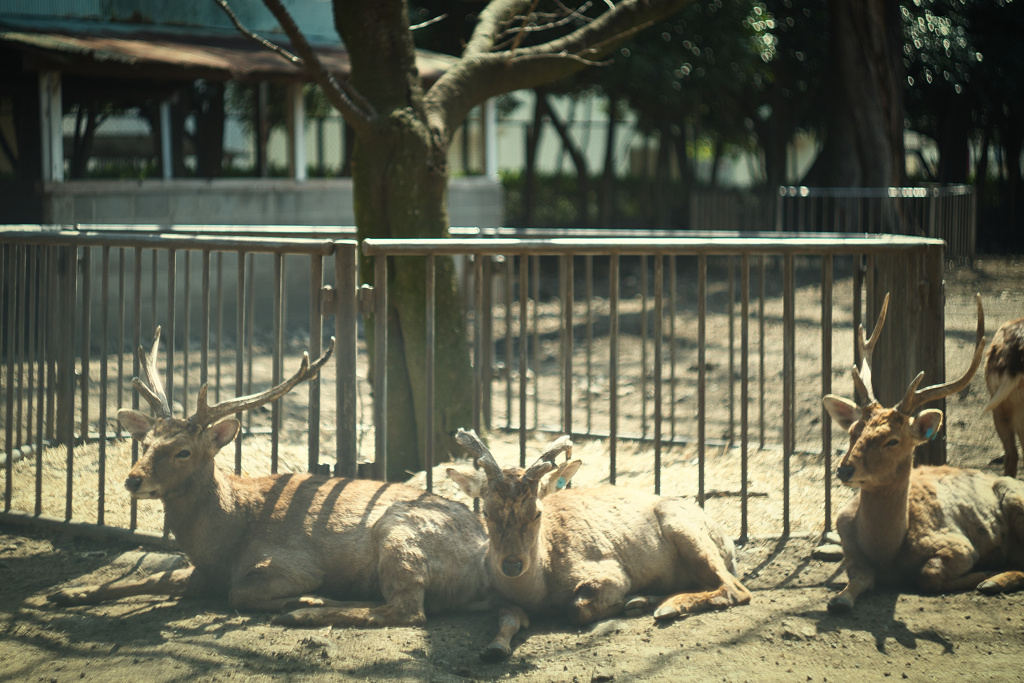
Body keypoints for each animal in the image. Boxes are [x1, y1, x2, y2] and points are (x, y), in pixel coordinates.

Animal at [48, 327, 491, 626]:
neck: (221, 541)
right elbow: (151, 578)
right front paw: (67, 593)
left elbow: (237, 593)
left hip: (400, 532)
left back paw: (304, 613)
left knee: (408, 610)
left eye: (183, 451)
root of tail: (486, 553)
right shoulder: (201, 571)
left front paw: (306, 599)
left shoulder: (292, 563)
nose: (133, 480)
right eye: (145, 443)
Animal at [452, 430, 749, 659]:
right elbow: (507, 616)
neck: (539, 589)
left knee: (736, 589)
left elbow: (577, 608)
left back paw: (663, 606)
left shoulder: (611, 572)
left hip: (684, 528)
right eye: (486, 512)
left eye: (537, 512)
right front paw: (494, 648)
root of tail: (729, 545)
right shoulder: (497, 594)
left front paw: (627, 601)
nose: (512, 565)